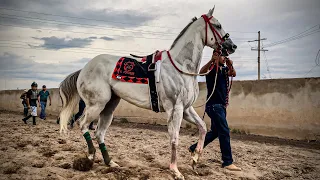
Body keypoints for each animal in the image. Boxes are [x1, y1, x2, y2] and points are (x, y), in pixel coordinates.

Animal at [58, 6, 236, 179]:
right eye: (218, 25)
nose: (232, 46)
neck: (180, 67)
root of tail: (83, 69)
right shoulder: (175, 109)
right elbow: (174, 138)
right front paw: (175, 170)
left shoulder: (186, 109)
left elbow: (203, 128)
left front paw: (195, 159)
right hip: (97, 105)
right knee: (82, 124)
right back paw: (90, 156)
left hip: (109, 106)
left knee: (99, 133)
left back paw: (110, 162)